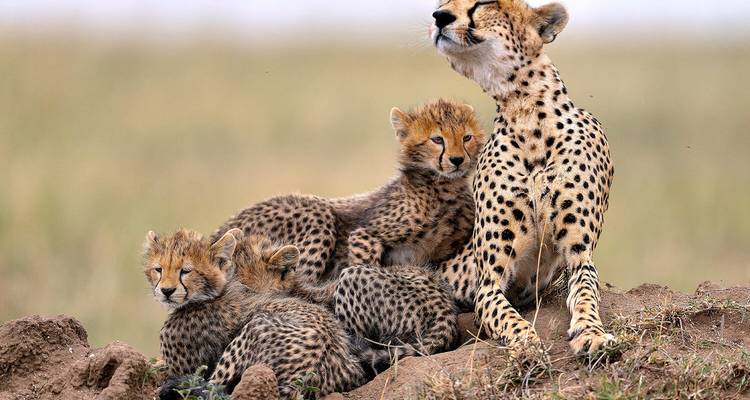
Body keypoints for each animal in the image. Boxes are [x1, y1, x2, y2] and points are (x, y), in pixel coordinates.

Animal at [210, 99, 485, 283]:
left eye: (467, 137)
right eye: (437, 139)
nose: (457, 160)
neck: (442, 189)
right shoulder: (365, 234)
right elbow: (364, 267)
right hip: (317, 215)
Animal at [429, 0, 616, 356]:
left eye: (482, 4)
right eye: (440, 4)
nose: (439, 17)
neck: (525, 111)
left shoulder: (580, 256)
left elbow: (586, 296)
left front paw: (592, 334)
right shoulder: (489, 281)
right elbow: (503, 314)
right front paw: (526, 343)